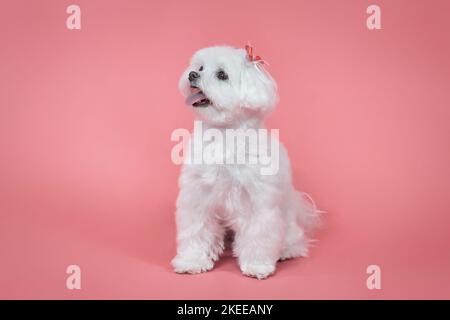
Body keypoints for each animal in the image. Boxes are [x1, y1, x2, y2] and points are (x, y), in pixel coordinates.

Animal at [170, 45, 320, 280]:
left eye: (222, 75)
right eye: (200, 67)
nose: (192, 75)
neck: (224, 136)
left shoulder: (258, 202)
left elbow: (259, 235)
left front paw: (257, 265)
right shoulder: (198, 196)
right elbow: (196, 230)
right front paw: (192, 260)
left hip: (286, 220)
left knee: (293, 238)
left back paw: (286, 250)